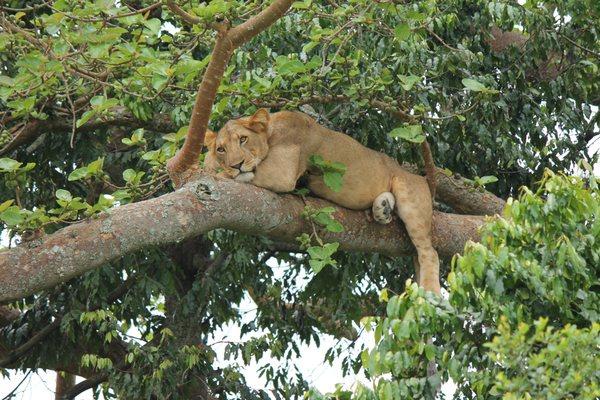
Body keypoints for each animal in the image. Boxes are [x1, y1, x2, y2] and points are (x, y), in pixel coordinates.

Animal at [204, 109, 438, 294]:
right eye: (221, 149)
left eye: (243, 139)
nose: (236, 165)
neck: (271, 132)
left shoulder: (281, 172)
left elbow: (229, 174)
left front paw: (212, 172)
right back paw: (383, 209)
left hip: (410, 196)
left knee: (429, 252)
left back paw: (430, 293)